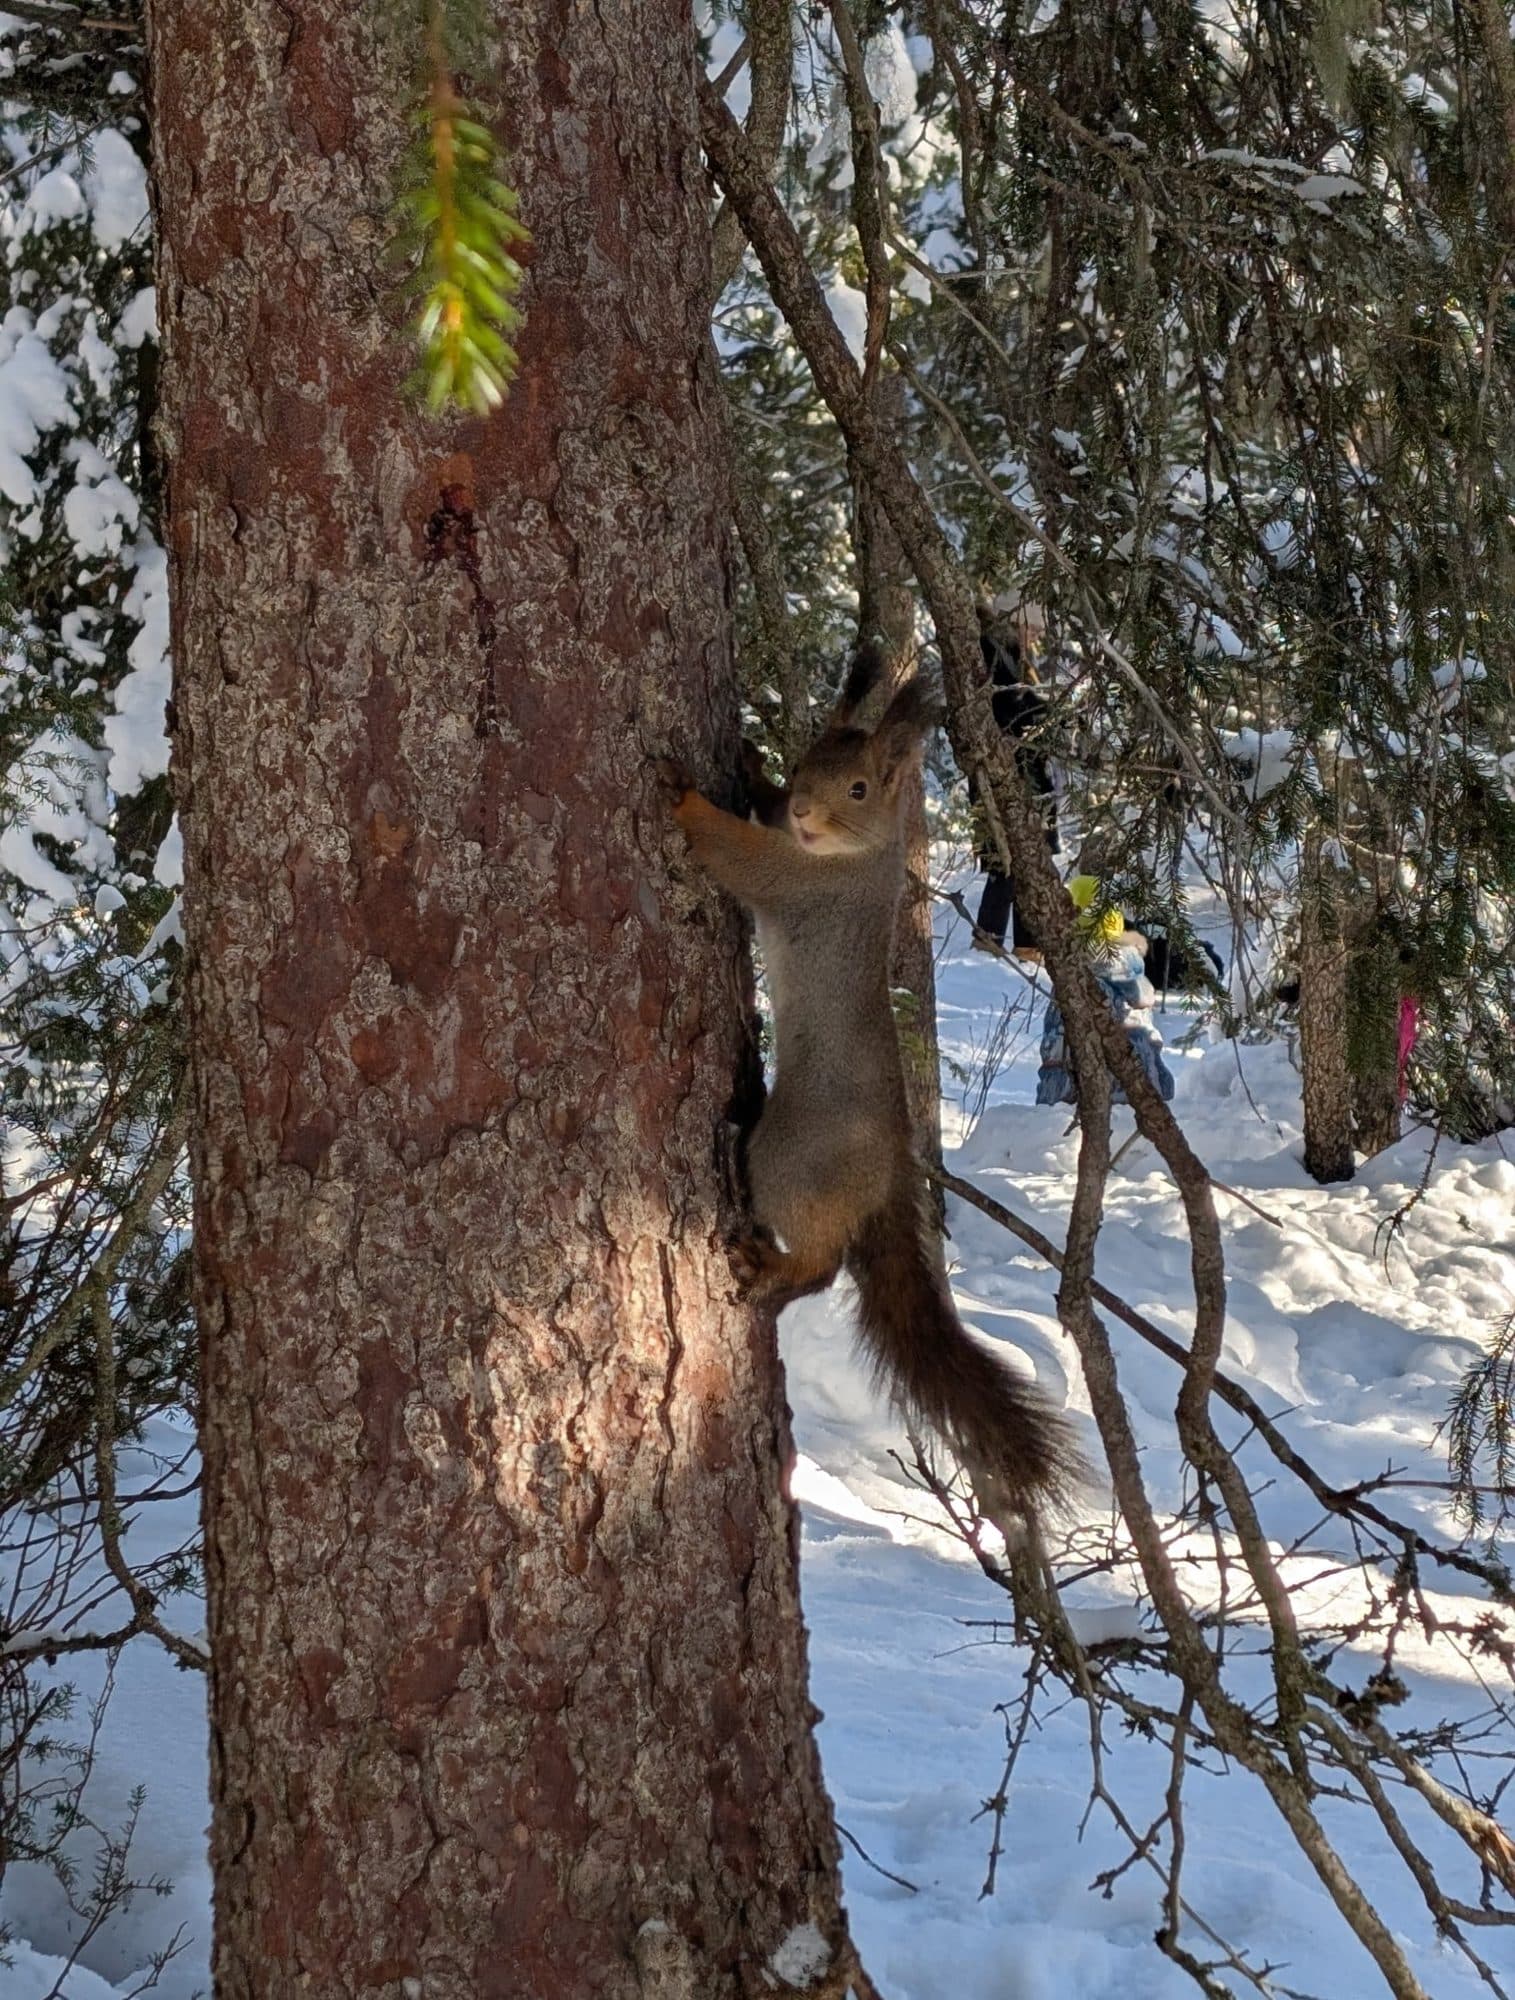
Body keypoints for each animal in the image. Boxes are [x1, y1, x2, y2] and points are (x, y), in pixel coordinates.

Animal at [660, 649, 1078, 1515]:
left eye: (857, 789)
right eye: (807, 763)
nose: (805, 811)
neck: (853, 854)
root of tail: (887, 1170)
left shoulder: (796, 880)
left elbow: (735, 852)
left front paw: (684, 795)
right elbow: (760, 813)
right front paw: (749, 764)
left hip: (788, 1159)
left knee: (820, 1264)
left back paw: (772, 1270)